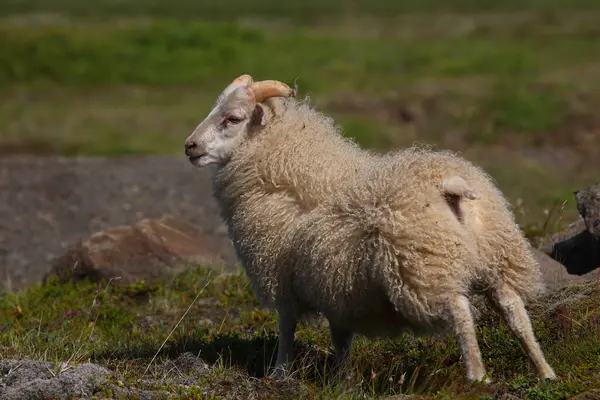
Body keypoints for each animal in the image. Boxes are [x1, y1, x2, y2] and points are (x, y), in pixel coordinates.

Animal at [184, 73, 556, 382]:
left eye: (233, 118)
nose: (190, 146)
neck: (288, 169)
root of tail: (451, 187)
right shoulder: (335, 286)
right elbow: (341, 337)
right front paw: (342, 379)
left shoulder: (281, 277)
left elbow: (287, 328)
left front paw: (279, 373)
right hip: (496, 255)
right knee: (514, 310)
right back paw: (544, 372)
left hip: (424, 268)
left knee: (461, 311)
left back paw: (476, 376)